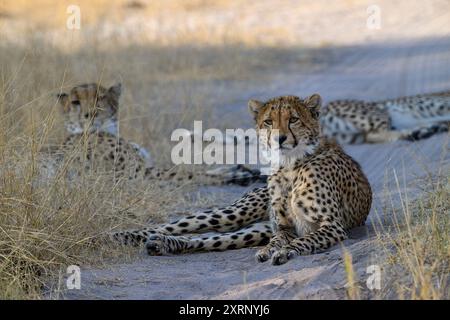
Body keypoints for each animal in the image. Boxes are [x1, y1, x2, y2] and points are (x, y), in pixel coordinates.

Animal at [113, 93, 372, 264]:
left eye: (293, 119)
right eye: (269, 121)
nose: (278, 138)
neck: (290, 164)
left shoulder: (332, 226)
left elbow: (302, 240)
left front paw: (283, 251)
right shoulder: (284, 227)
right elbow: (278, 240)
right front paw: (272, 250)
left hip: (254, 230)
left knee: (211, 239)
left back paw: (162, 244)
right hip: (236, 214)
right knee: (177, 225)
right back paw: (121, 235)